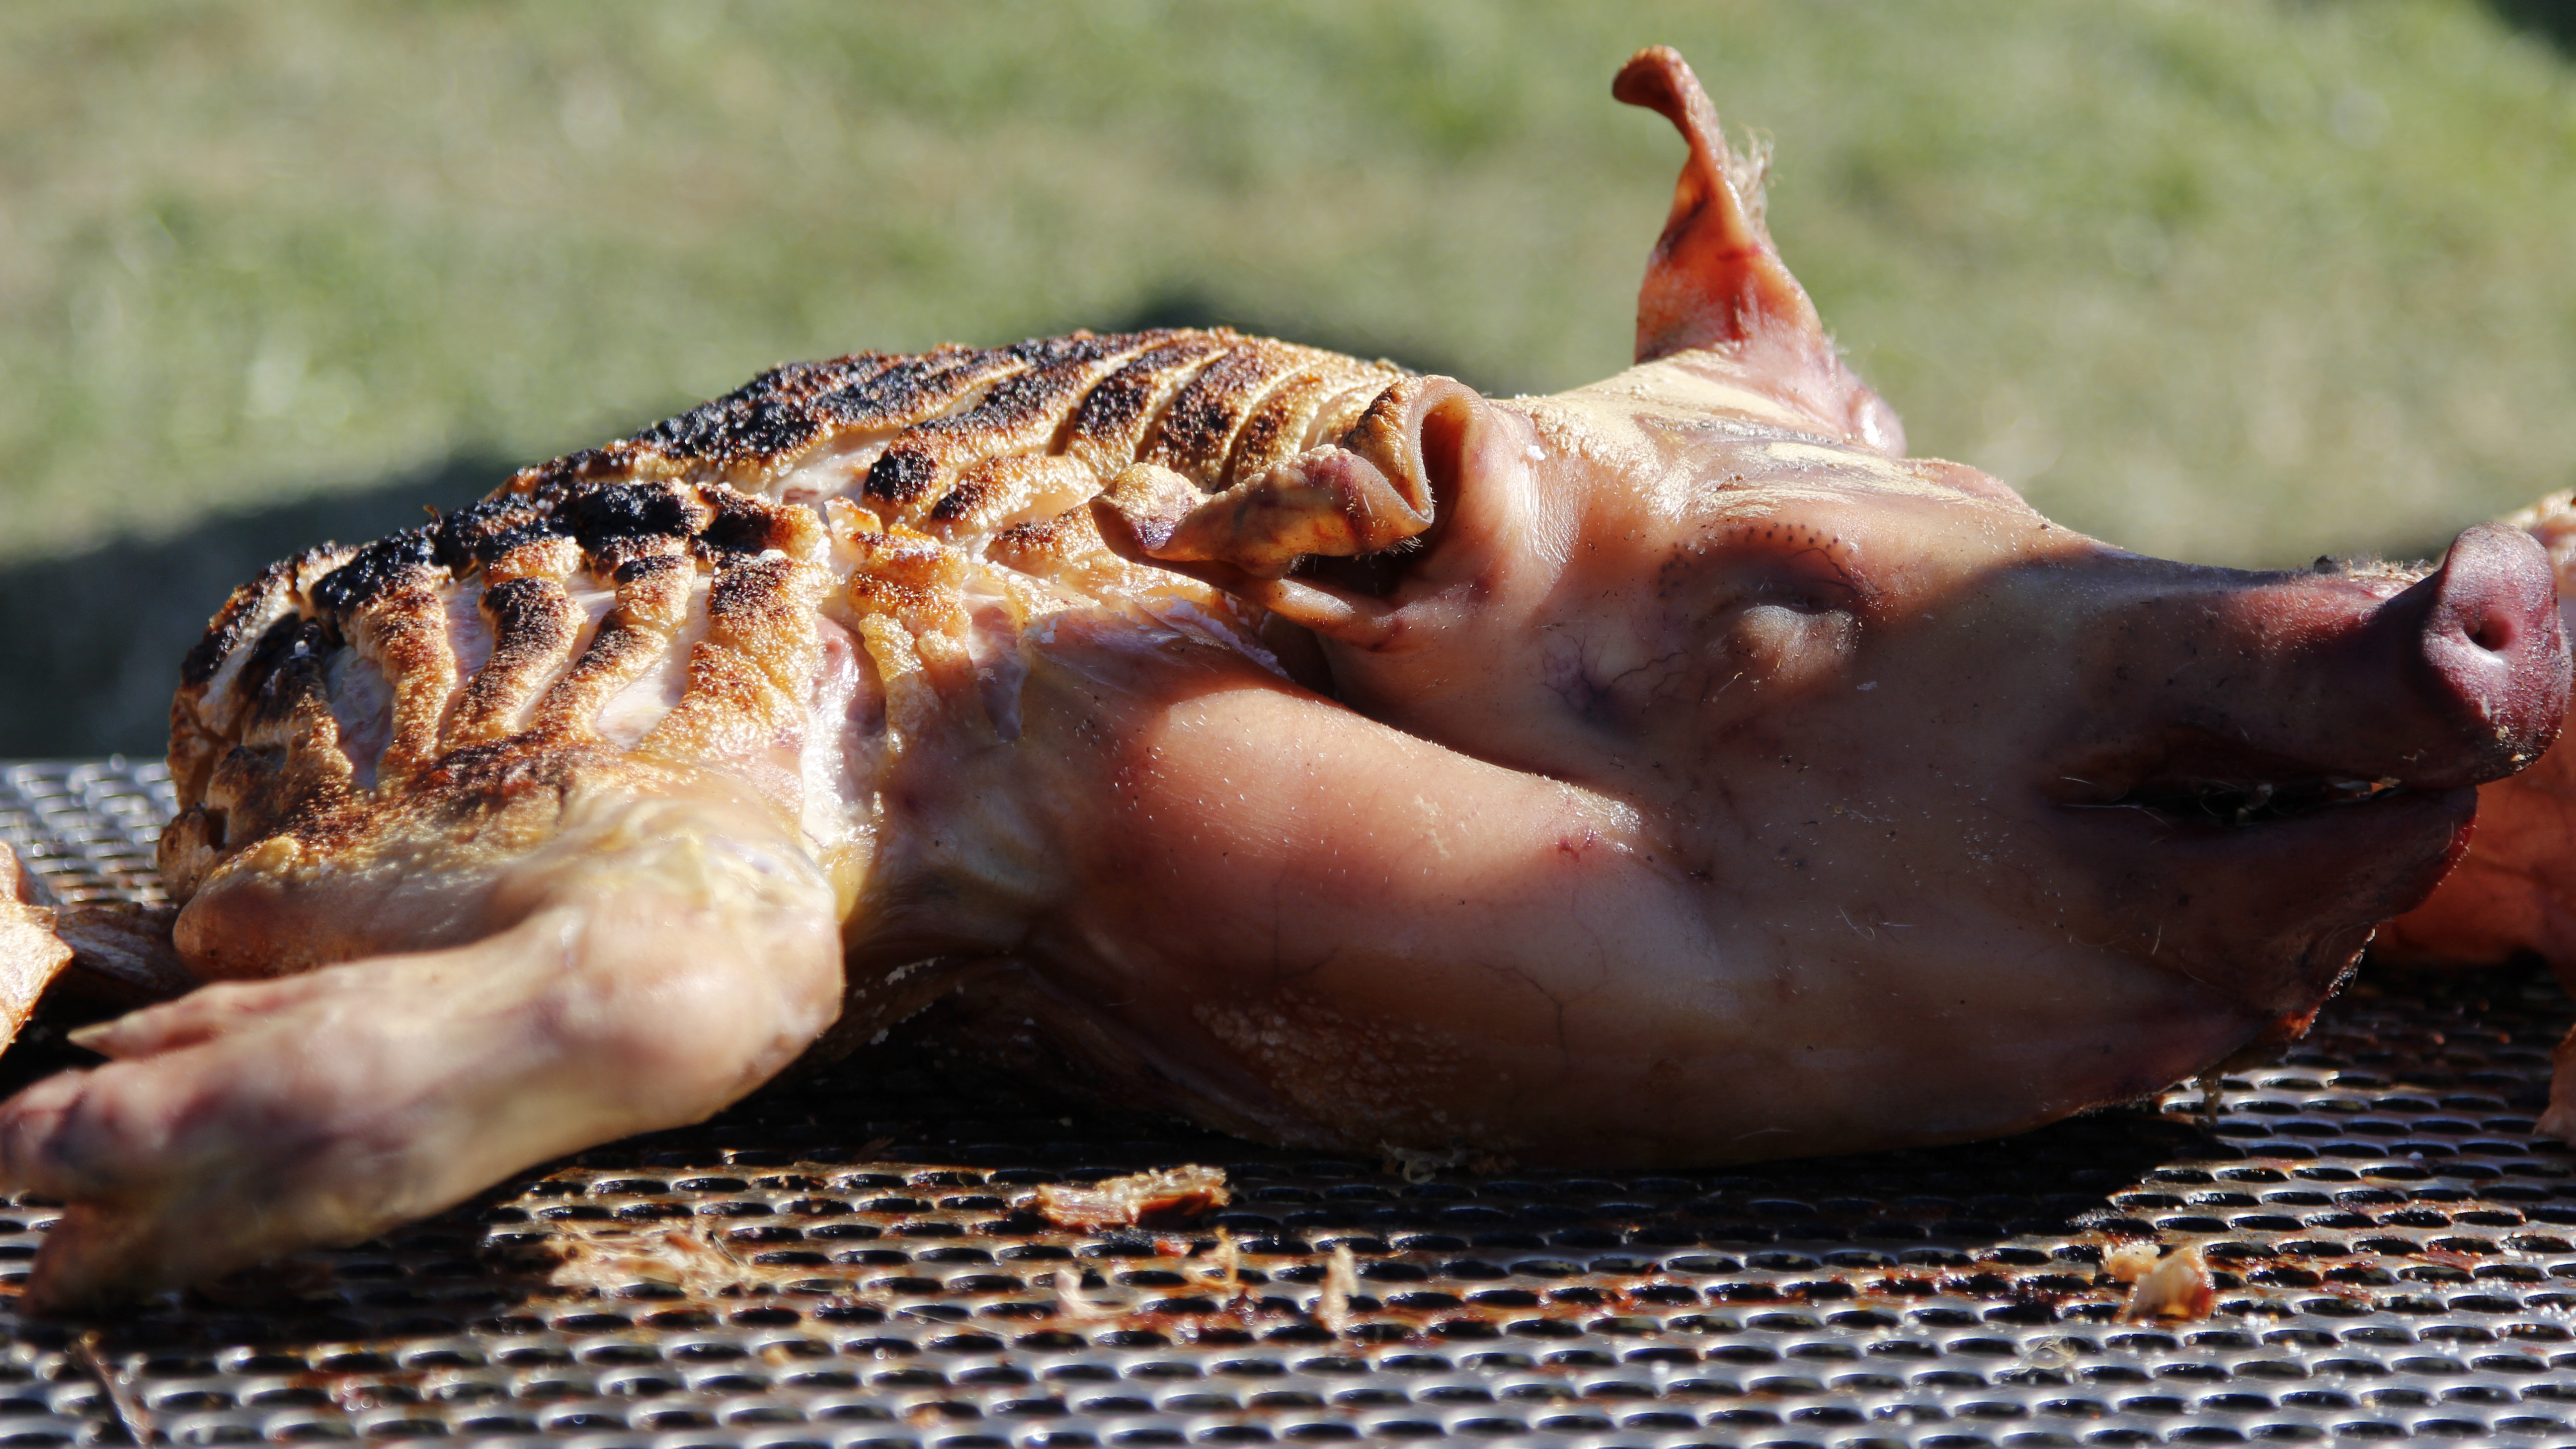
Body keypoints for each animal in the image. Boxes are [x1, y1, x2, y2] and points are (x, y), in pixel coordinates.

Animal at [0, 46, 2561, 1311]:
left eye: (2016, 504)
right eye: (1773, 609)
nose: (2488, 580)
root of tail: (224, 722)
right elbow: (699, 963)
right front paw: (89, 1164)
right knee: (693, 956)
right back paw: (100, 1137)